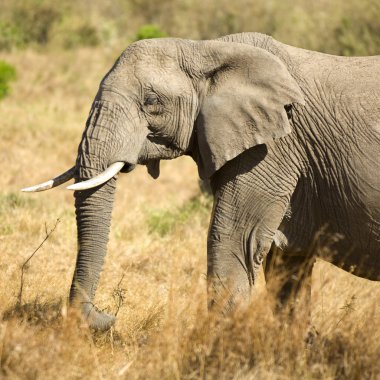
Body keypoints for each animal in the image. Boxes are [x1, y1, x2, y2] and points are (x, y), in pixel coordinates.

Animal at [23, 31, 380, 330]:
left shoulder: (273, 149)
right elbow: (287, 266)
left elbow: (233, 240)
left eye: (152, 103)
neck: (204, 50)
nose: (107, 316)